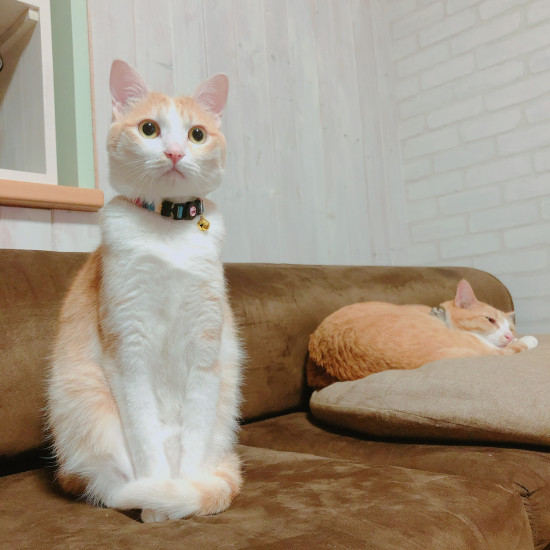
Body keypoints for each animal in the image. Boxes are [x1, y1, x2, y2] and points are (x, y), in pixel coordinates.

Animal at [46, 60, 243, 523]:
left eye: (197, 134)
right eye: (149, 128)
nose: (173, 152)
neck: (168, 229)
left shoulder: (208, 350)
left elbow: (193, 443)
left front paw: (182, 496)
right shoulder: (127, 346)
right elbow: (145, 440)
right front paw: (159, 505)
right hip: (85, 409)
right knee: (112, 483)